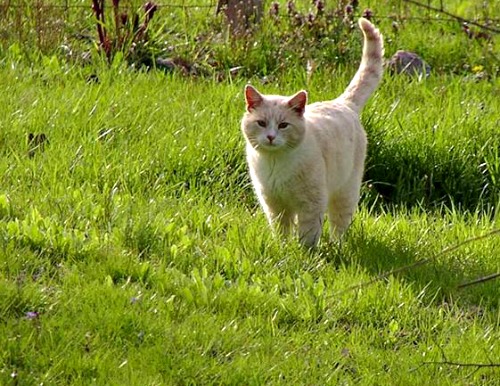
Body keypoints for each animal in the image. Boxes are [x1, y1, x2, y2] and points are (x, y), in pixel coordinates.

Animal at [240, 17, 384, 247]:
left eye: (283, 125)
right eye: (261, 123)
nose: (270, 137)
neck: (275, 163)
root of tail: (342, 103)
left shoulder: (311, 203)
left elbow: (308, 235)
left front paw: (303, 253)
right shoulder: (274, 204)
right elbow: (281, 231)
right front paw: (283, 249)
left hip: (345, 192)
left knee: (339, 225)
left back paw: (337, 246)